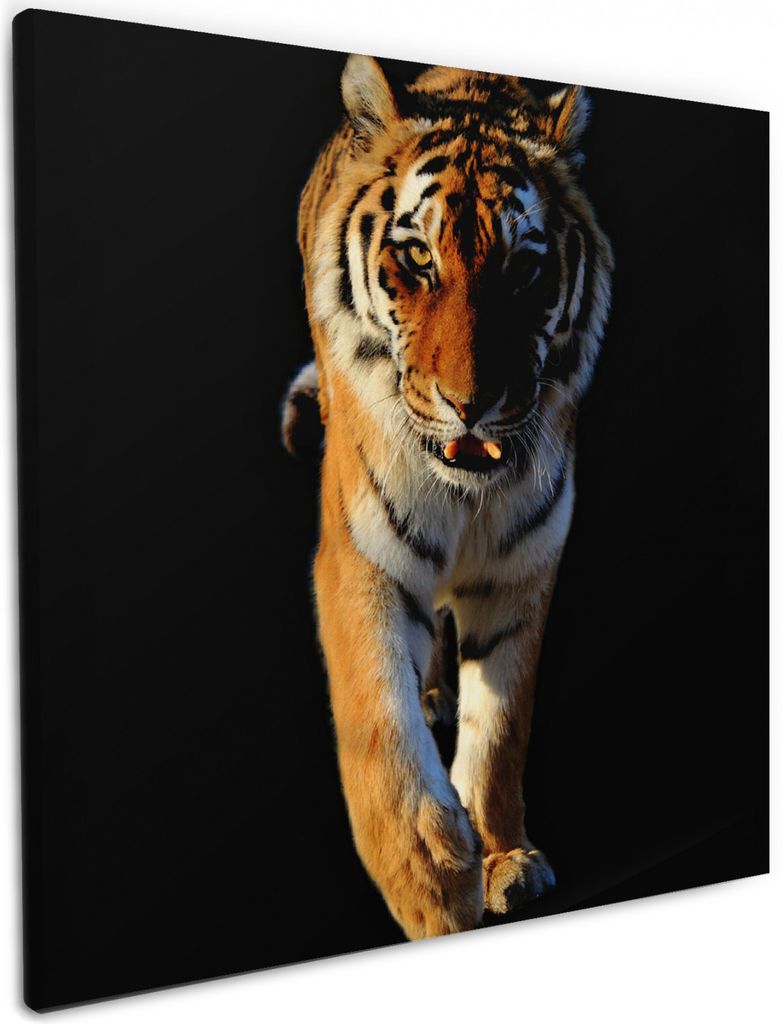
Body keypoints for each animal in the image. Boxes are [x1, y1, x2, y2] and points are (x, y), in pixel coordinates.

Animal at [281, 55, 613, 940]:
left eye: (524, 268)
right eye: (418, 260)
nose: (469, 403)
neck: (468, 493)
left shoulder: (522, 566)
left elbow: (500, 728)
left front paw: (503, 857)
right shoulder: (360, 554)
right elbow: (375, 717)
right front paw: (429, 880)